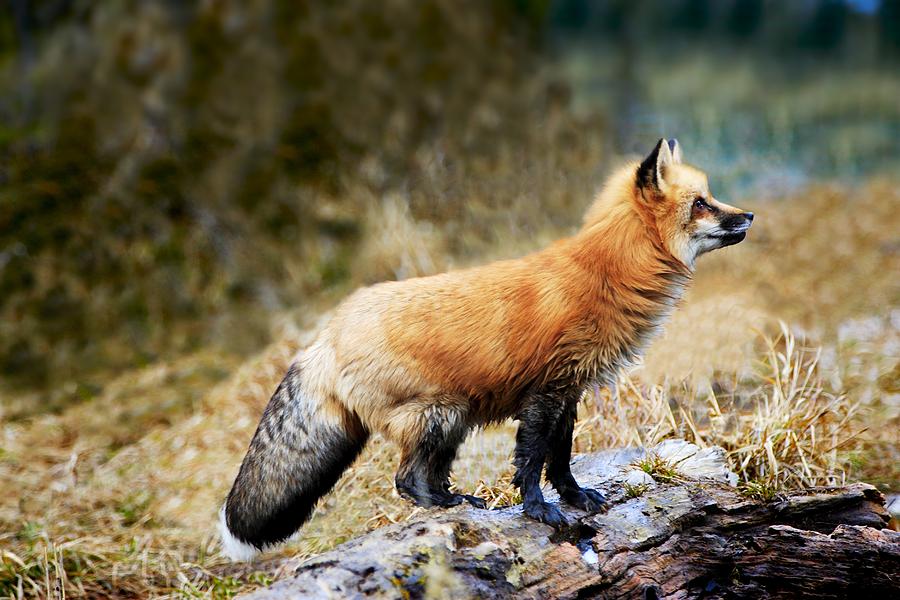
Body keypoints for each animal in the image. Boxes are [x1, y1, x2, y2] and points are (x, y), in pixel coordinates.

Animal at [220, 138, 752, 560]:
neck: (606, 272)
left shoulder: (569, 393)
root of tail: (327, 334)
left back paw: (457, 500)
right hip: (441, 414)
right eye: (701, 203)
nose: (749, 215)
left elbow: (561, 459)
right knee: (405, 480)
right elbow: (531, 462)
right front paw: (537, 510)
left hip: (452, 423)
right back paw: (447, 506)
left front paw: (574, 498)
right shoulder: (545, 393)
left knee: (423, 476)